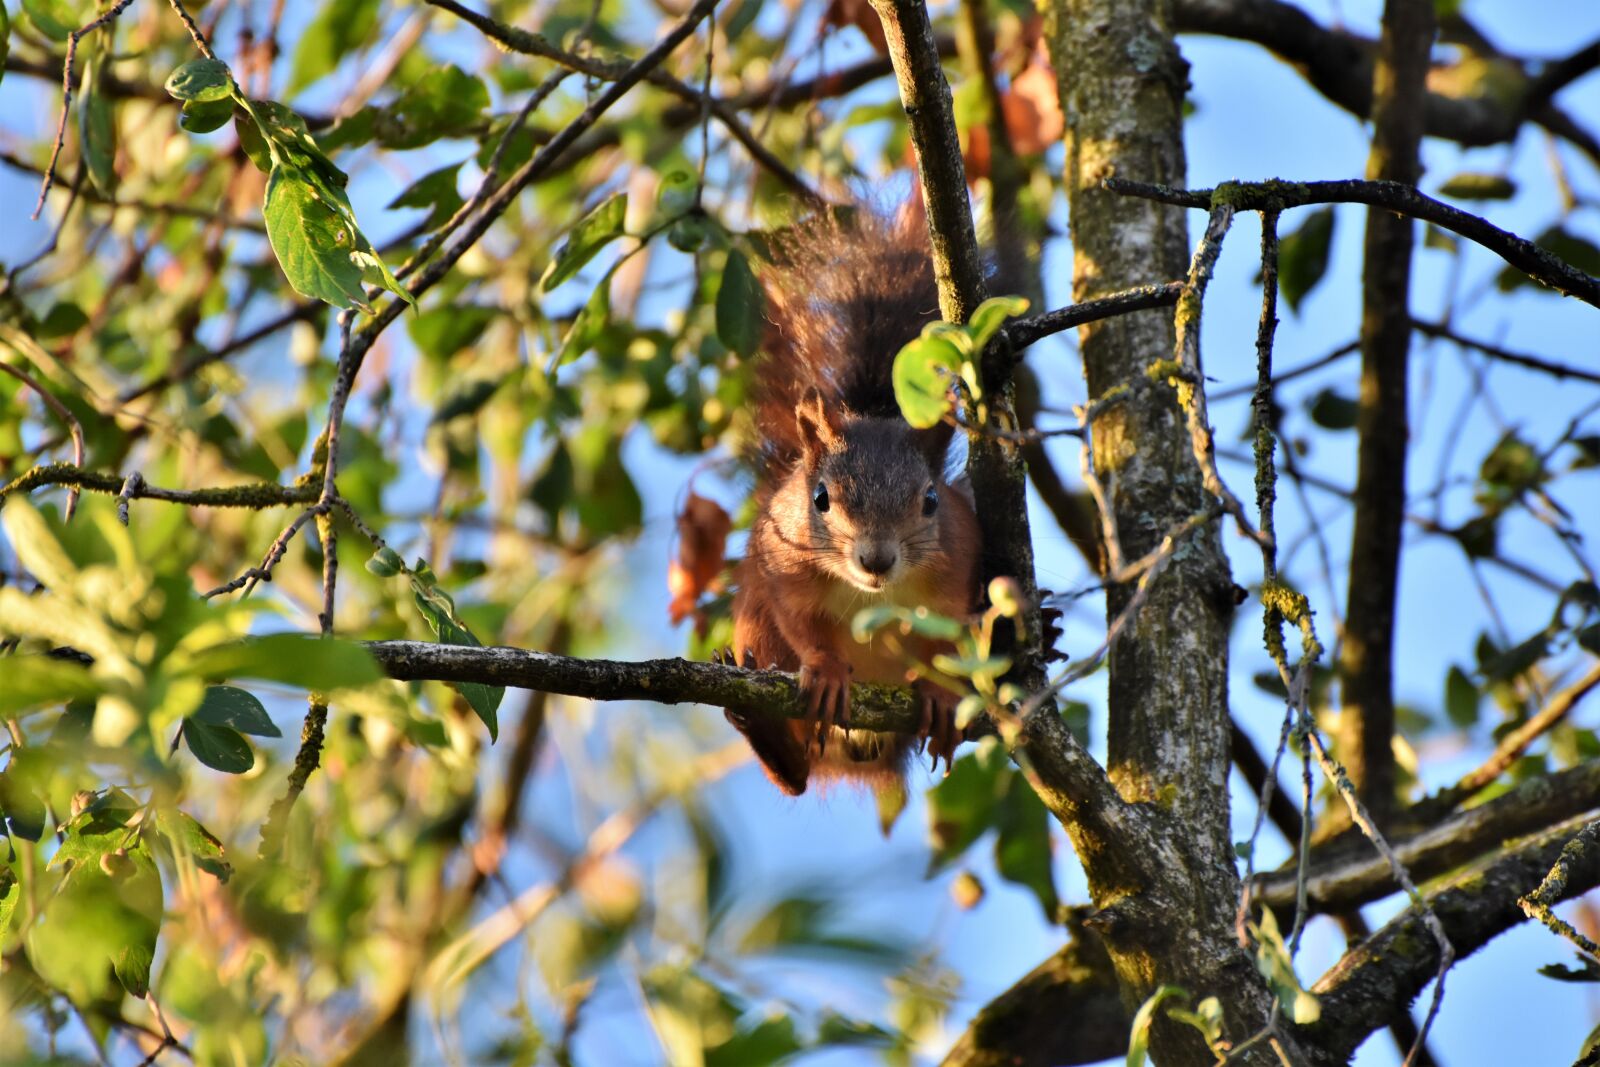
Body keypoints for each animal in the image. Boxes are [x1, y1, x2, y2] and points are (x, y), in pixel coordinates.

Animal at [724, 211, 982, 797]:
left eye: (931, 500)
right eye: (820, 498)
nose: (876, 559)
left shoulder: (956, 572)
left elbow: (949, 640)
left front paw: (941, 695)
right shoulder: (784, 568)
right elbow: (801, 622)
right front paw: (824, 671)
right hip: (755, 630)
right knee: (795, 774)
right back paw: (760, 725)